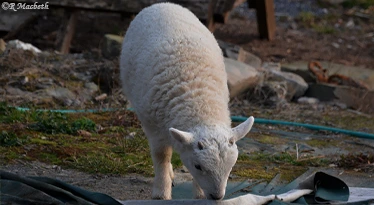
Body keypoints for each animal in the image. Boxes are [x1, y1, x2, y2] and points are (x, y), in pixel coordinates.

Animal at [120, 2, 254, 200]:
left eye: (231, 167)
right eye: (198, 166)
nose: (217, 197)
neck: (200, 104)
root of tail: (162, 4)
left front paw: (199, 195)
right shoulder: (153, 126)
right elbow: (161, 156)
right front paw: (161, 192)